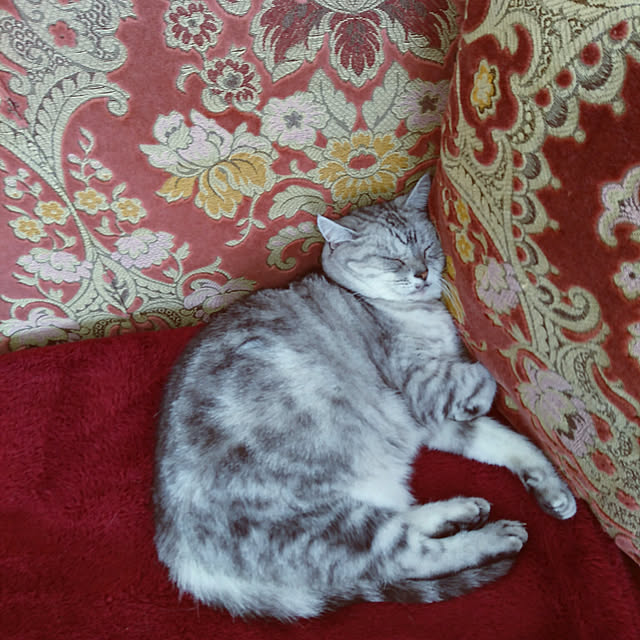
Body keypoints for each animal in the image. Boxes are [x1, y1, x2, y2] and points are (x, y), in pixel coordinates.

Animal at [153, 173, 576, 620]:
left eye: (427, 247)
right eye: (392, 259)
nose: (423, 273)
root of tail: (185, 567)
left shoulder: (434, 420)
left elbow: (512, 442)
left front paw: (552, 490)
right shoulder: (423, 388)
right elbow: (485, 378)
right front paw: (518, 392)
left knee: (406, 523)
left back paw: (459, 510)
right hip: (334, 525)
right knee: (410, 557)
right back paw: (492, 535)